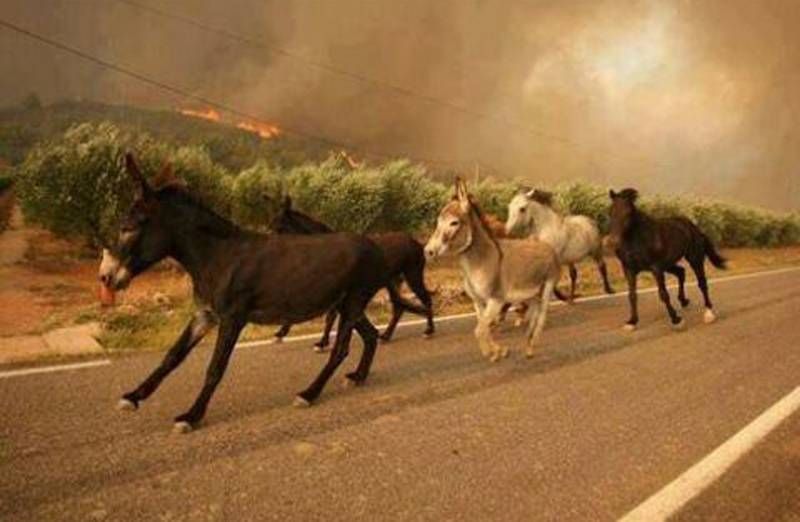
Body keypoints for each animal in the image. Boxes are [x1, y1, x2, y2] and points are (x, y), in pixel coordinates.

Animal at [97, 154, 404, 430]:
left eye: (128, 228)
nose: (106, 277)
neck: (217, 256)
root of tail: (377, 247)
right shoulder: (205, 314)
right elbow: (172, 356)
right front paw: (134, 397)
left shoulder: (233, 318)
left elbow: (215, 368)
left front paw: (192, 416)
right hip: (346, 304)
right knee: (370, 336)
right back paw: (358, 376)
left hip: (353, 301)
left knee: (340, 349)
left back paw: (309, 394)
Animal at [270, 193, 434, 348]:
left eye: (279, 228)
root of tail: (417, 243)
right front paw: (281, 333)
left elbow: (329, 317)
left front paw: (322, 343)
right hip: (393, 282)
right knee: (398, 307)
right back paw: (386, 336)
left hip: (413, 276)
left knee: (425, 299)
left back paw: (429, 330)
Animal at [608, 188, 724, 330]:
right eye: (610, 211)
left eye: (628, 212)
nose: (613, 242)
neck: (638, 239)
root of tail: (693, 227)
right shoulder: (629, 269)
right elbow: (632, 295)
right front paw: (631, 322)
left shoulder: (656, 268)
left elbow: (663, 294)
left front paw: (676, 320)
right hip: (668, 265)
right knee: (681, 272)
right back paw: (684, 301)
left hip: (694, 259)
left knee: (702, 282)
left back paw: (708, 313)